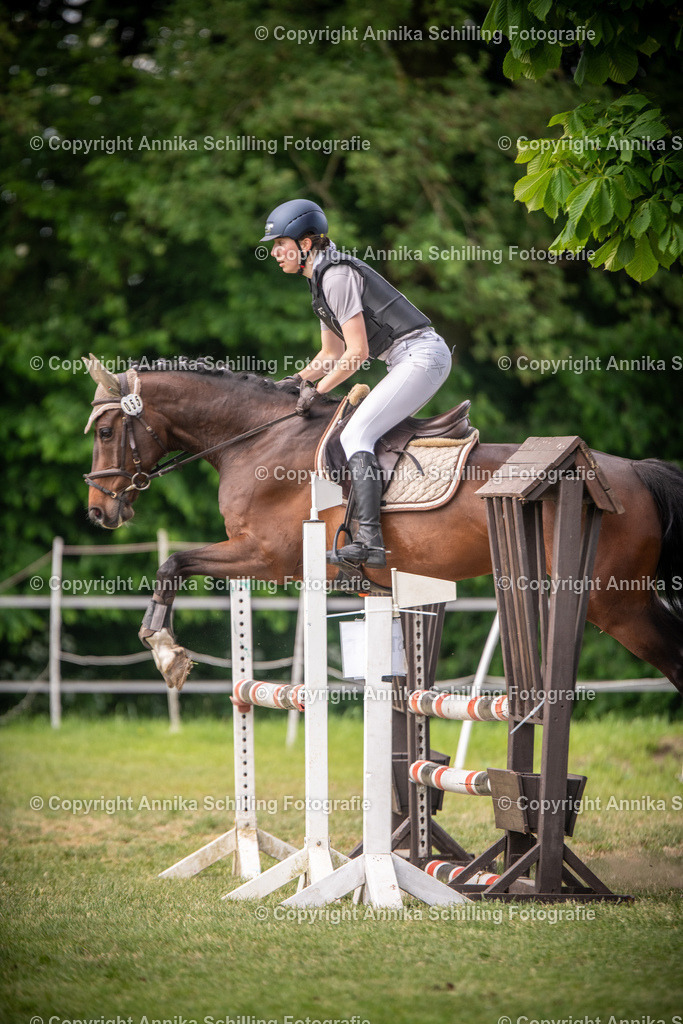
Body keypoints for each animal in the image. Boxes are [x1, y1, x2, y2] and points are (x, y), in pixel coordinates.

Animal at [82, 352, 683, 696]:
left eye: (107, 432)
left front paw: (166, 651)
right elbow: (175, 563)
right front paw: (164, 647)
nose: (98, 511)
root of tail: (636, 470)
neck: (256, 438)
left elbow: (173, 562)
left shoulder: (265, 556)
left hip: (613, 600)